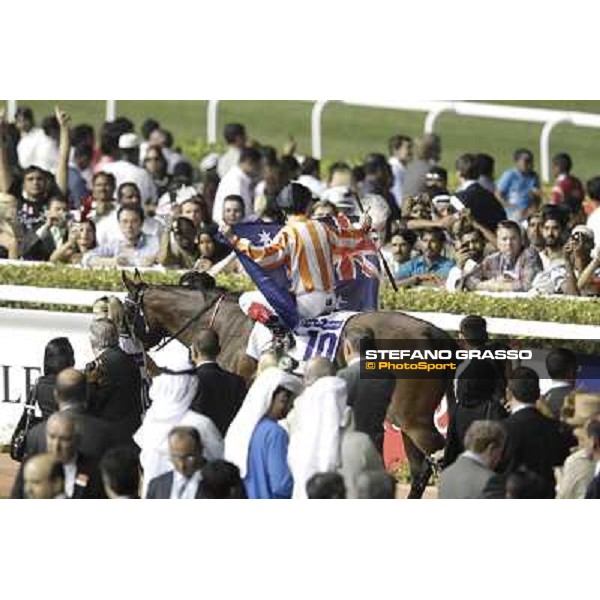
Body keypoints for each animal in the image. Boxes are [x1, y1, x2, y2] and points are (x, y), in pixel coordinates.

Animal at [123, 270, 460, 496]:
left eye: (126, 311)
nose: (131, 354)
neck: (225, 324)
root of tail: (433, 332)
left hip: (413, 417)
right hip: (407, 417)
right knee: (420, 470)